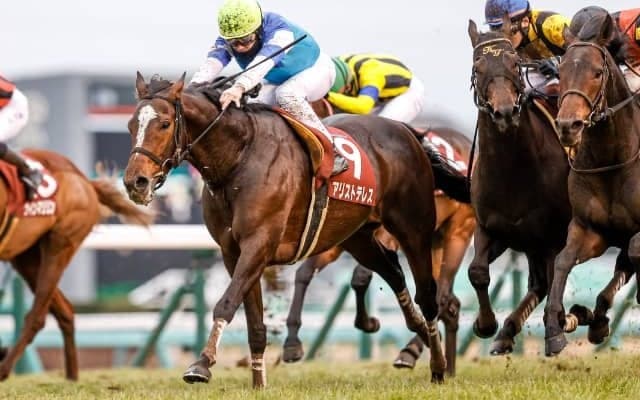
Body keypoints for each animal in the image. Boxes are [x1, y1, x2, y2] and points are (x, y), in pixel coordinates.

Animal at [0, 152, 153, 381]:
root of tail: (85, 181)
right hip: (25, 257)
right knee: (65, 310)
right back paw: (71, 377)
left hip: (60, 244)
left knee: (38, 316)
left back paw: (4, 369)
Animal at [282, 115, 475, 376]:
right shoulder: (335, 240)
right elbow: (304, 274)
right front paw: (292, 343)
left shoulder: (383, 234)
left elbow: (360, 277)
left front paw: (366, 322)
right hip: (434, 241)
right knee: (449, 301)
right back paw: (447, 365)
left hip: (458, 232)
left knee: (441, 295)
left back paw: (413, 352)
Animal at [467, 18, 573, 355]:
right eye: (477, 67)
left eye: (514, 63)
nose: (504, 112)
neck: (511, 173)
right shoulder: (492, 228)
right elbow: (477, 271)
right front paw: (486, 325)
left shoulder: (554, 234)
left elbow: (556, 277)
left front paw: (557, 330)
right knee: (538, 283)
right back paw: (506, 331)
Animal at [545, 13, 640, 356]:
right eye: (561, 71)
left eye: (597, 72)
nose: (568, 126)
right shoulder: (591, 229)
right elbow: (562, 261)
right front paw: (559, 324)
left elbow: (633, 252)